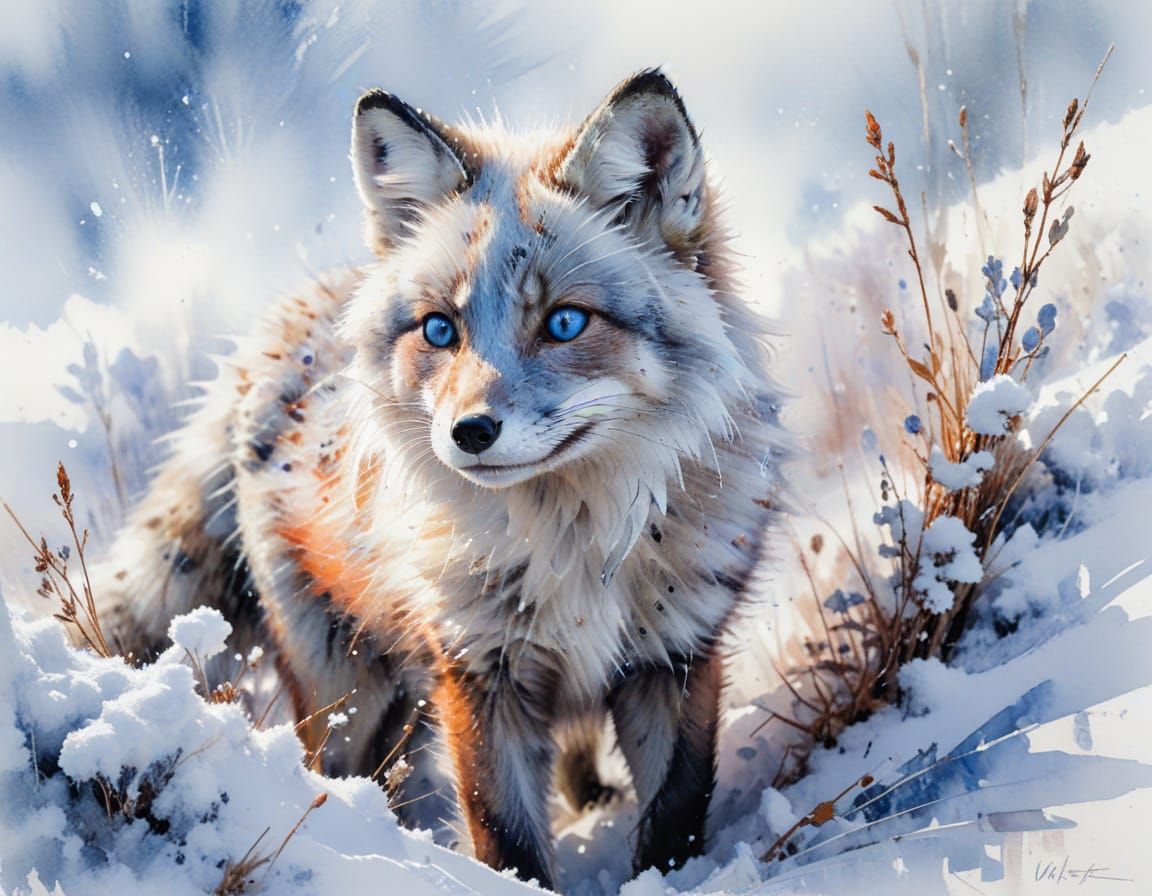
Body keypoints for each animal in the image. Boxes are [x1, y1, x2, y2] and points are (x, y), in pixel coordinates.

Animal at [91, 69, 787, 889]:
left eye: (563, 323)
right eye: (439, 330)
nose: (469, 433)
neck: (573, 545)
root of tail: (276, 334)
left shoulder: (675, 657)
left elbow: (676, 816)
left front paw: (670, 881)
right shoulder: (477, 674)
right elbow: (507, 842)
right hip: (345, 690)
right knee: (335, 773)